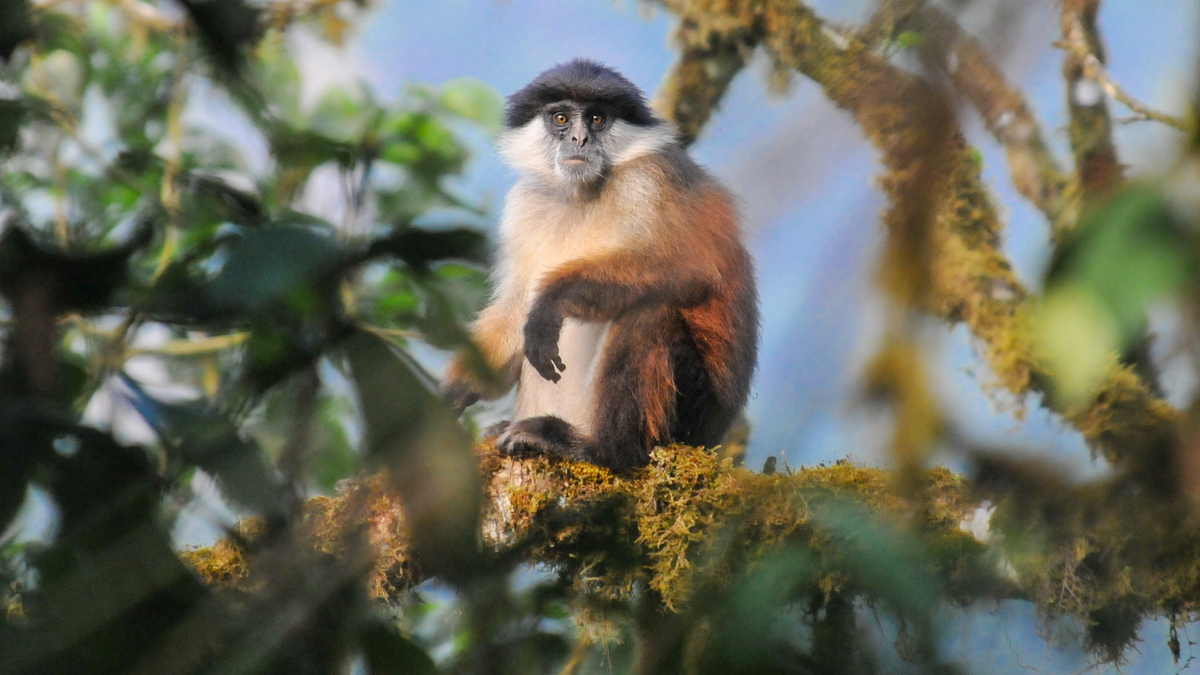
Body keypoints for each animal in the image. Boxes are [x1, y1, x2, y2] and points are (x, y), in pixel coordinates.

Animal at [443, 59, 758, 474]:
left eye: (596, 118)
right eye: (561, 118)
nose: (579, 139)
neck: (583, 194)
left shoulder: (650, 179)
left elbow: (693, 268)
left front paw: (551, 300)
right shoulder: (523, 205)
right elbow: (514, 310)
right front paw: (454, 392)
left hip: (691, 423)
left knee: (649, 314)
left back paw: (600, 450)